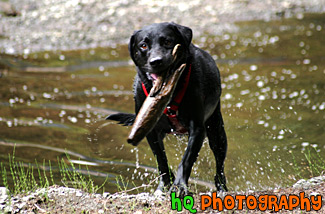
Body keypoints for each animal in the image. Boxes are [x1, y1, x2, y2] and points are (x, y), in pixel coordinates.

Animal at [107, 22, 228, 196]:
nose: (156, 61)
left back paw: (222, 189)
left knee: (220, 165)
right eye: (143, 45)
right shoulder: (151, 132)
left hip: (216, 131)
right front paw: (164, 185)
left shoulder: (198, 129)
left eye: (168, 42)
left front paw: (180, 186)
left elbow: (186, 160)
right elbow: (161, 160)